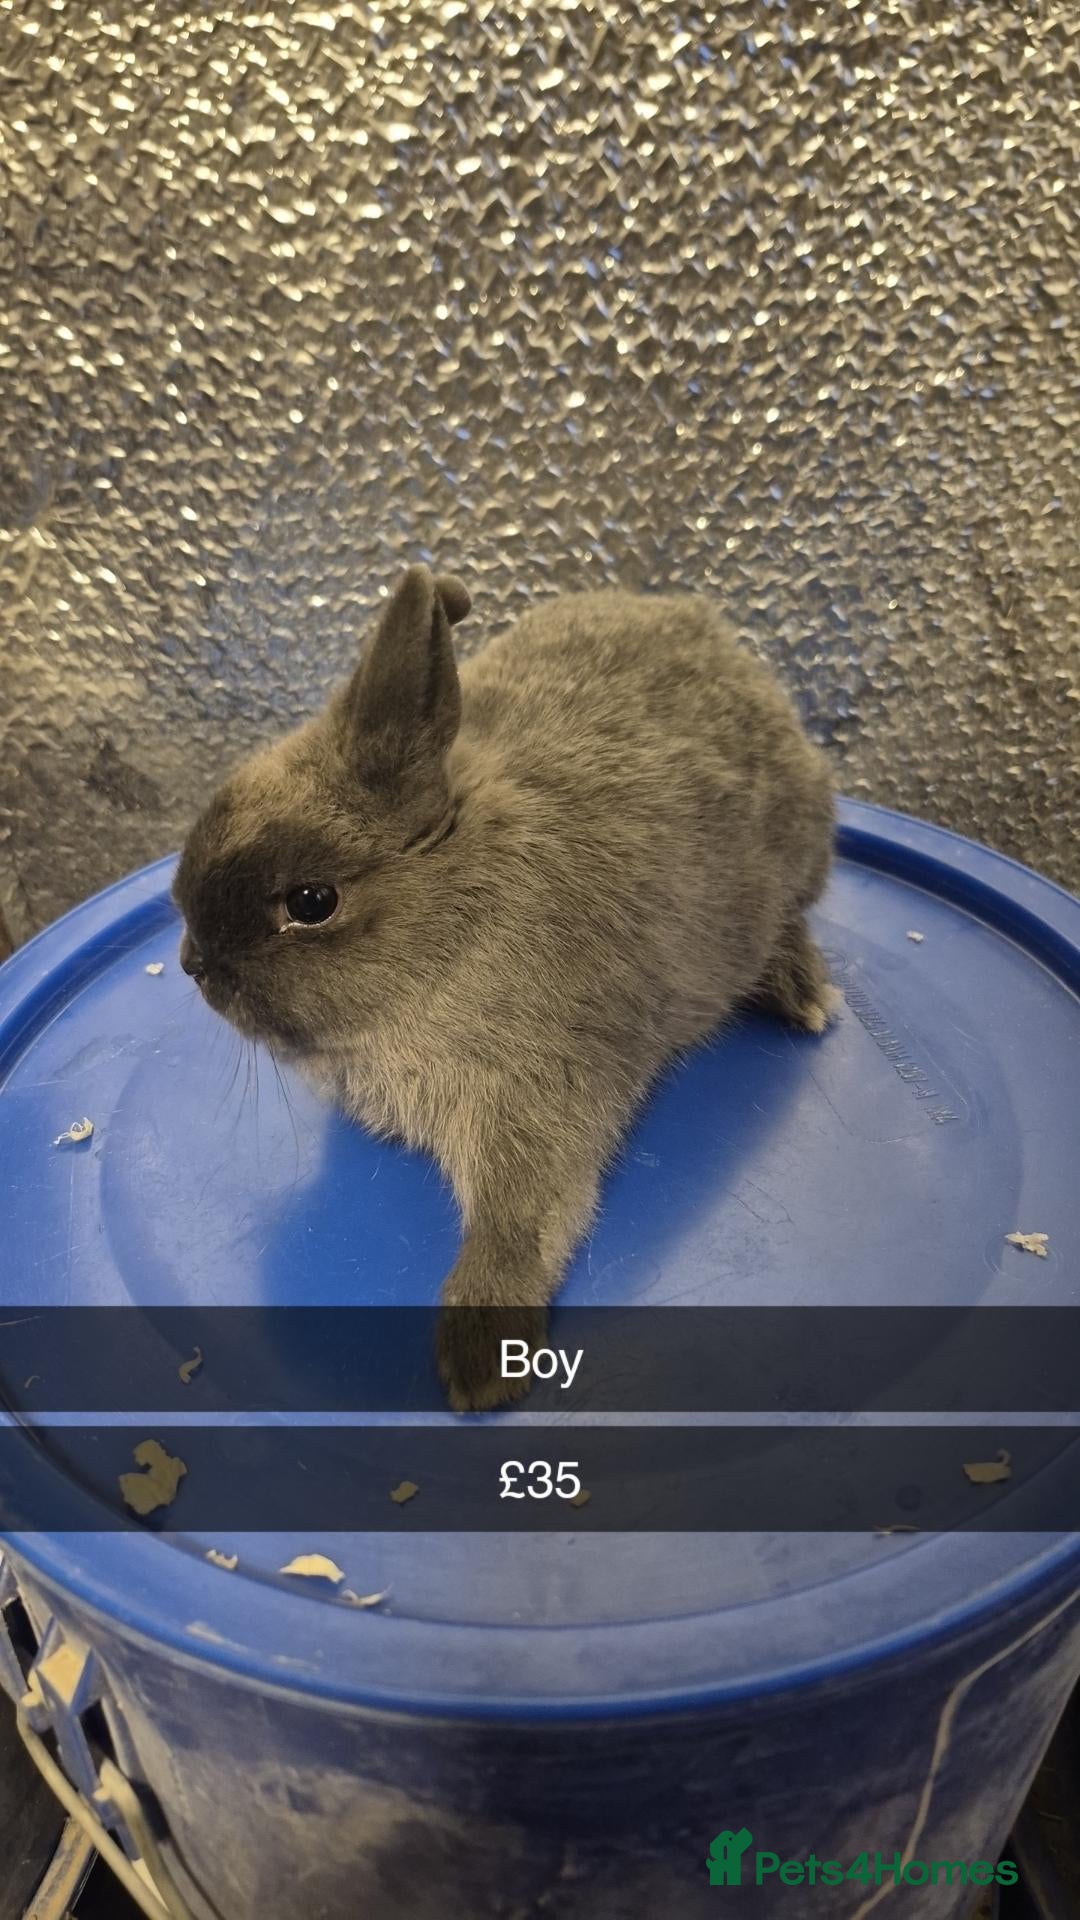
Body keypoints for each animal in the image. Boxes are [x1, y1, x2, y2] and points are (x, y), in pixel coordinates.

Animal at [174, 564, 837, 1410]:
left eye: (311, 902)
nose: (193, 962)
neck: (451, 921)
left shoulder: (539, 1098)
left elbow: (521, 1220)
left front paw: (481, 1365)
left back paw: (805, 995)